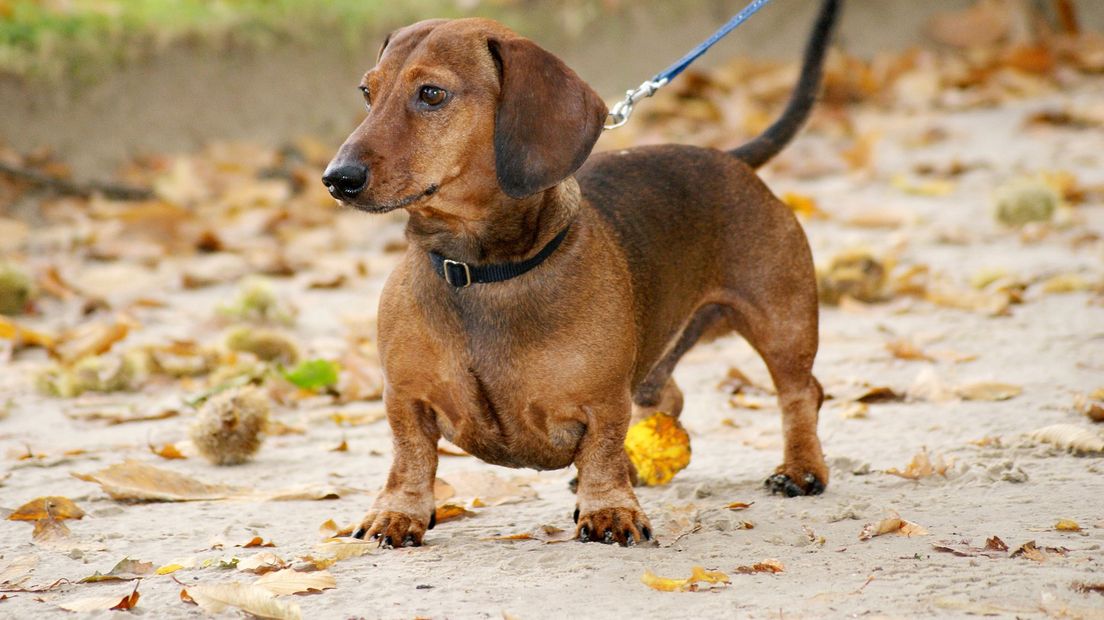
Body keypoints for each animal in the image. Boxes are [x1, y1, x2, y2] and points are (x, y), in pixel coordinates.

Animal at [322, 0, 839, 542]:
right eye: (367, 92)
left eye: (431, 94)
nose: (337, 179)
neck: (480, 271)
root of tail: (730, 157)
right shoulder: (405, 398)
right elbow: (410, 457)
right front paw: (397, 513)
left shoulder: (604, 400)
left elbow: (603, 449)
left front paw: (609, 508)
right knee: (669, 397)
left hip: (782, 321)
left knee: (801, 392)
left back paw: (801, 469)